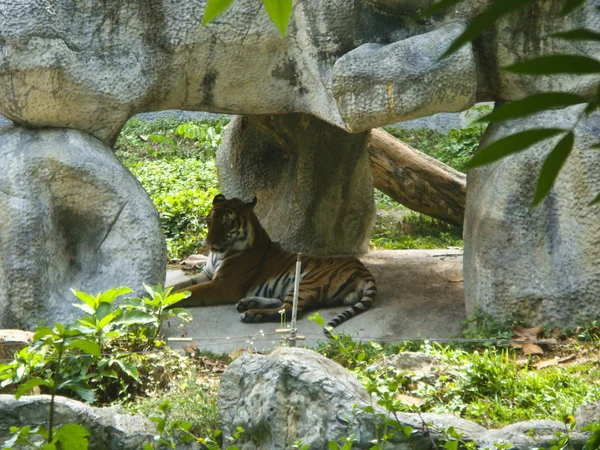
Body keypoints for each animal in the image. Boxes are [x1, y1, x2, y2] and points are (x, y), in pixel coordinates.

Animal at [172, 195, 376, 332]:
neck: (218, 255)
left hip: (306, 283)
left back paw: (251, 313)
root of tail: (362, 269)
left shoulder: (223, 284)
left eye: (227, 223)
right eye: (209, 221)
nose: (209, 243)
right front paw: (166, 292)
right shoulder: (207, 275)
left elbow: (190, 292)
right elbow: (178, 286)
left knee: (290, 310)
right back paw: (248, 303)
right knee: (282, 302)